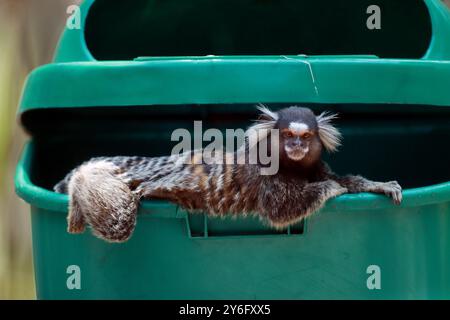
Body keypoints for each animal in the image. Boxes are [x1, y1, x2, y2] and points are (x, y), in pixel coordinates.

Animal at [54, 105, 402, 242]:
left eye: (305, 137)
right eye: (288, 135)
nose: (296, 146)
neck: (291, 165)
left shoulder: (314, 166)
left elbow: (348, 180)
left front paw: (380, 185)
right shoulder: (266, 180)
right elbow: (281, 209)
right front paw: (330, 189)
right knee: (118, 222)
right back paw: (85, 179)